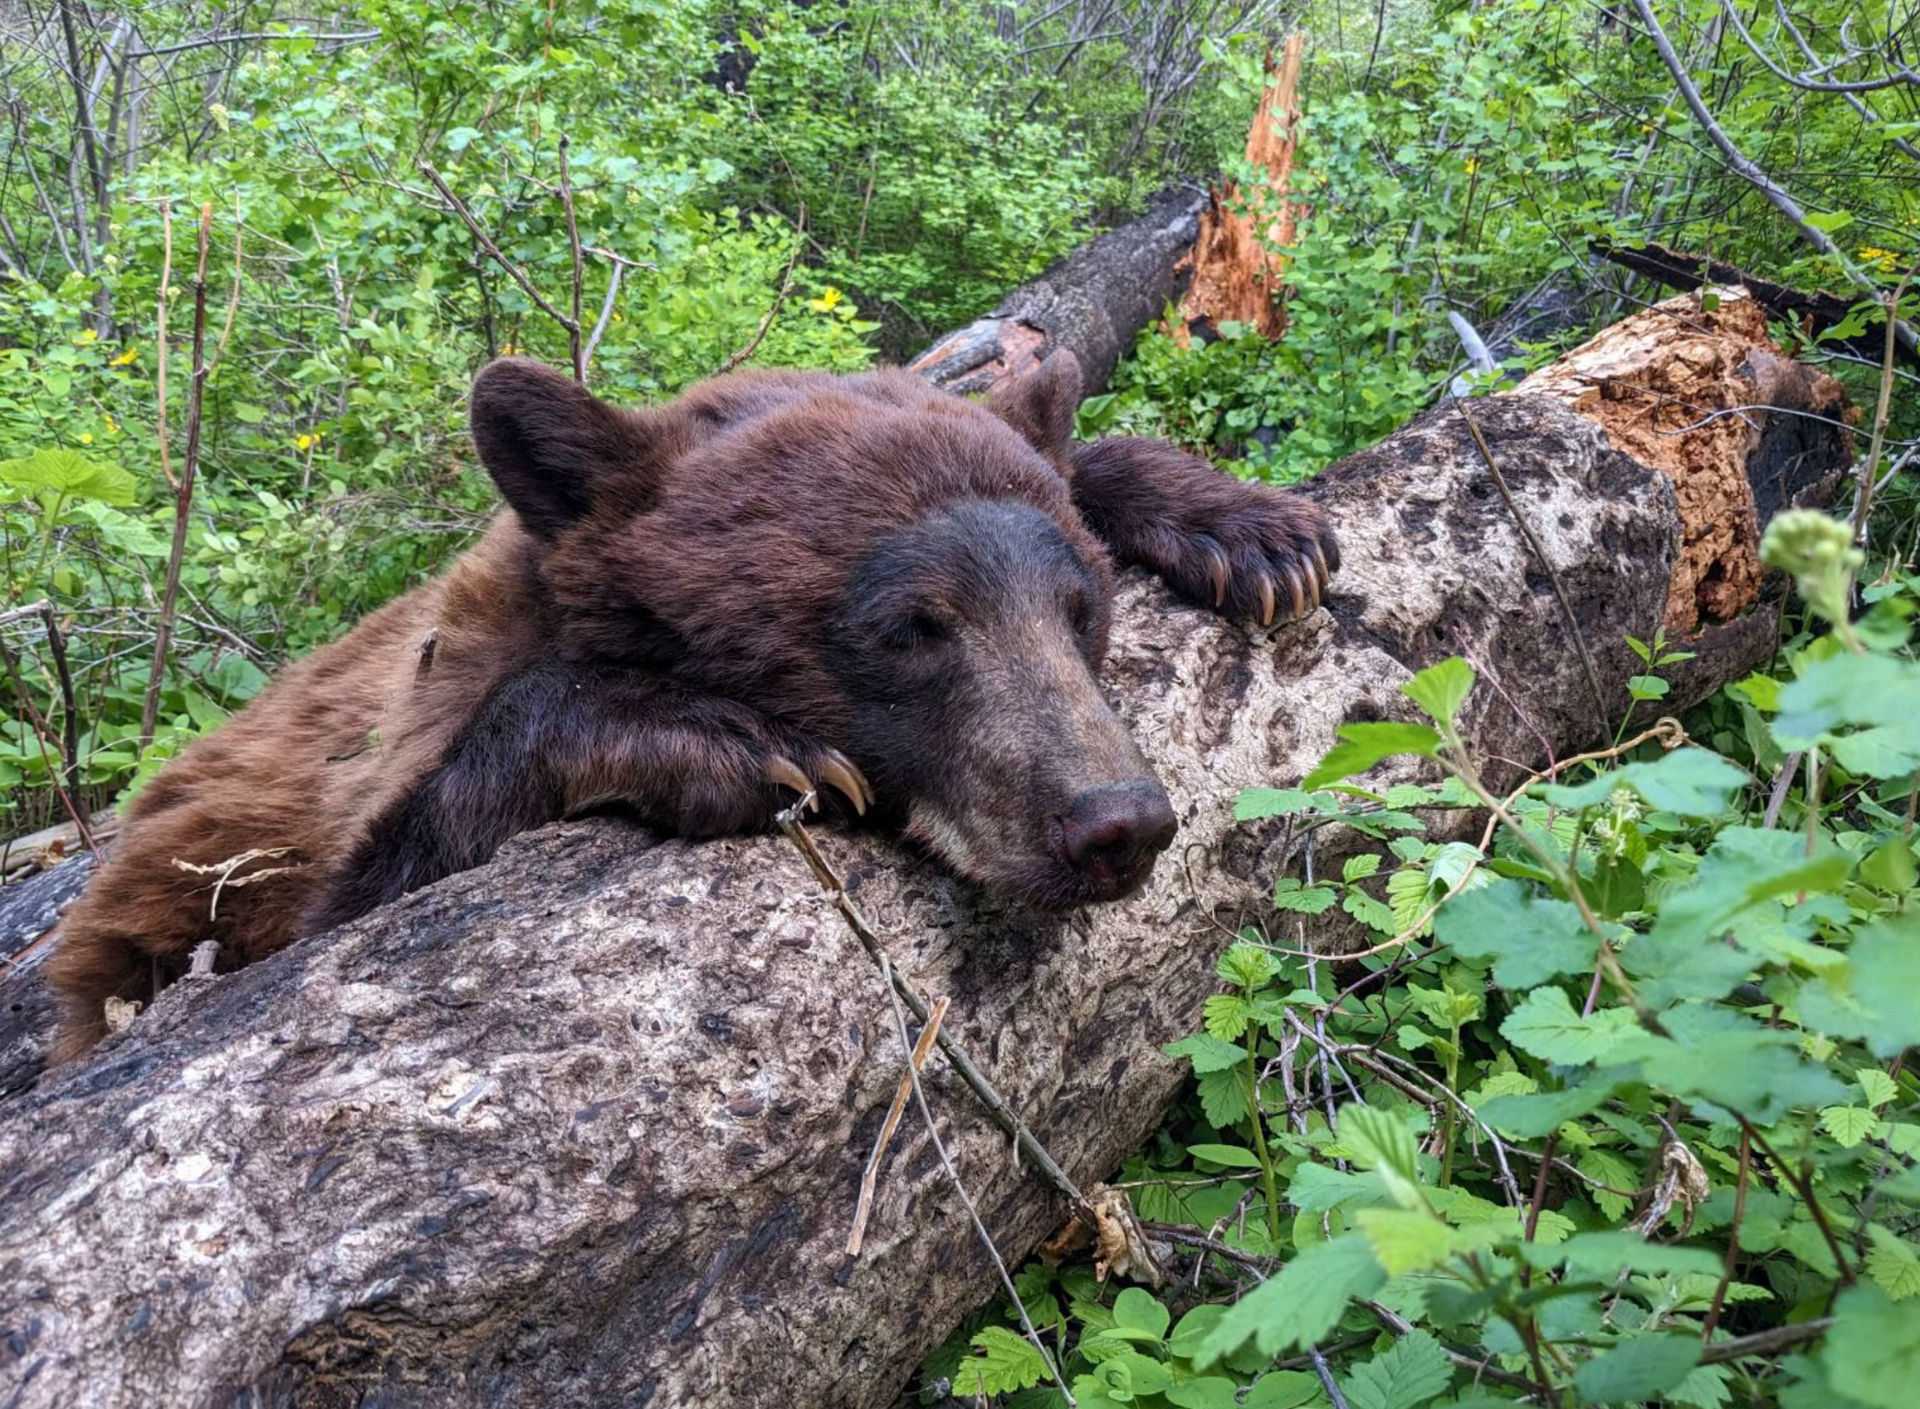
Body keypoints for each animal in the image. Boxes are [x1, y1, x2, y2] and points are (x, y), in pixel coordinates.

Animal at [46, 352, 1337, 1060]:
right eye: (908, 626)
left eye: (1078, 609)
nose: (1117, 821)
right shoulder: (349, 799)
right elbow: (359, 895)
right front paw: (727, 740)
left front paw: (1252, 529)